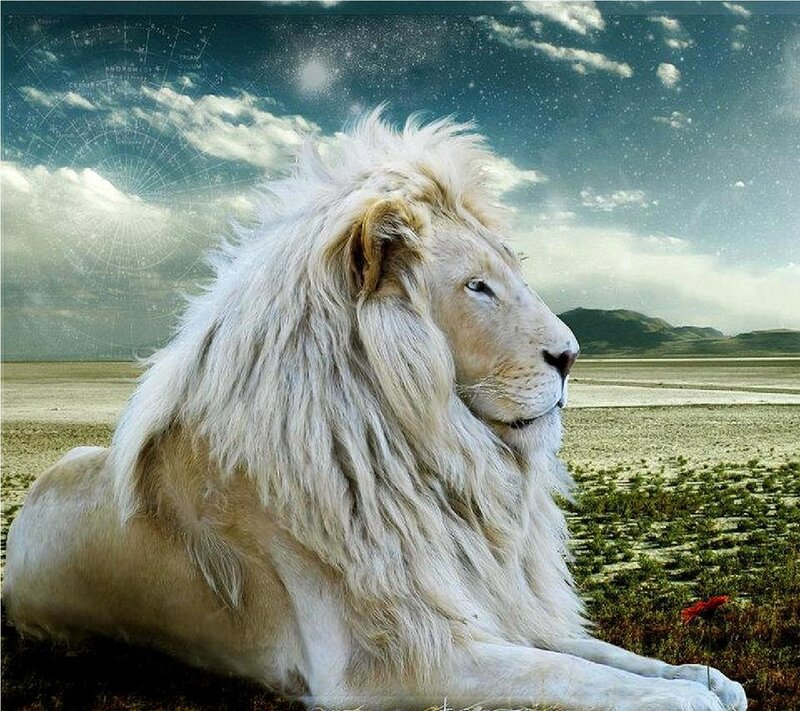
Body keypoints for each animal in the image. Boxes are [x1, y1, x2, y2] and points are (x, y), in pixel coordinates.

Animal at [4, 111, 746, 710]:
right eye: (477, 286)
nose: (570, 356)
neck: (436, 461)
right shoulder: (385, 661)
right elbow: (573, 679)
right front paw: (690, 698)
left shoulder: (489, 610)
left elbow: (605, 659)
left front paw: (704, 676)